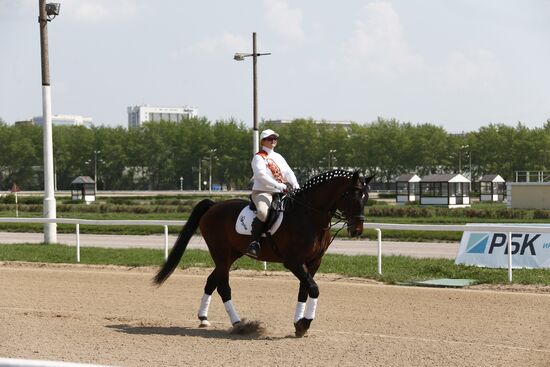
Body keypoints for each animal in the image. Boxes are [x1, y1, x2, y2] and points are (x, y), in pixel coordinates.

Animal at [153, 171, 374, 338]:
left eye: (366, 197)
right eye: (352, 196)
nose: (357, 230)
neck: (309, 216)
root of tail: (214, 205)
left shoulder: (313, 262)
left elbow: (305, 290)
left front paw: (299, 324)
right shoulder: (294, 262)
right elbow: (314, 289)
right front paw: (305, 323)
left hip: (231, 255)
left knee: (211, 280)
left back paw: (204, 318)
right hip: (221, 254)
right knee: (223, 286)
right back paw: (239, 324)